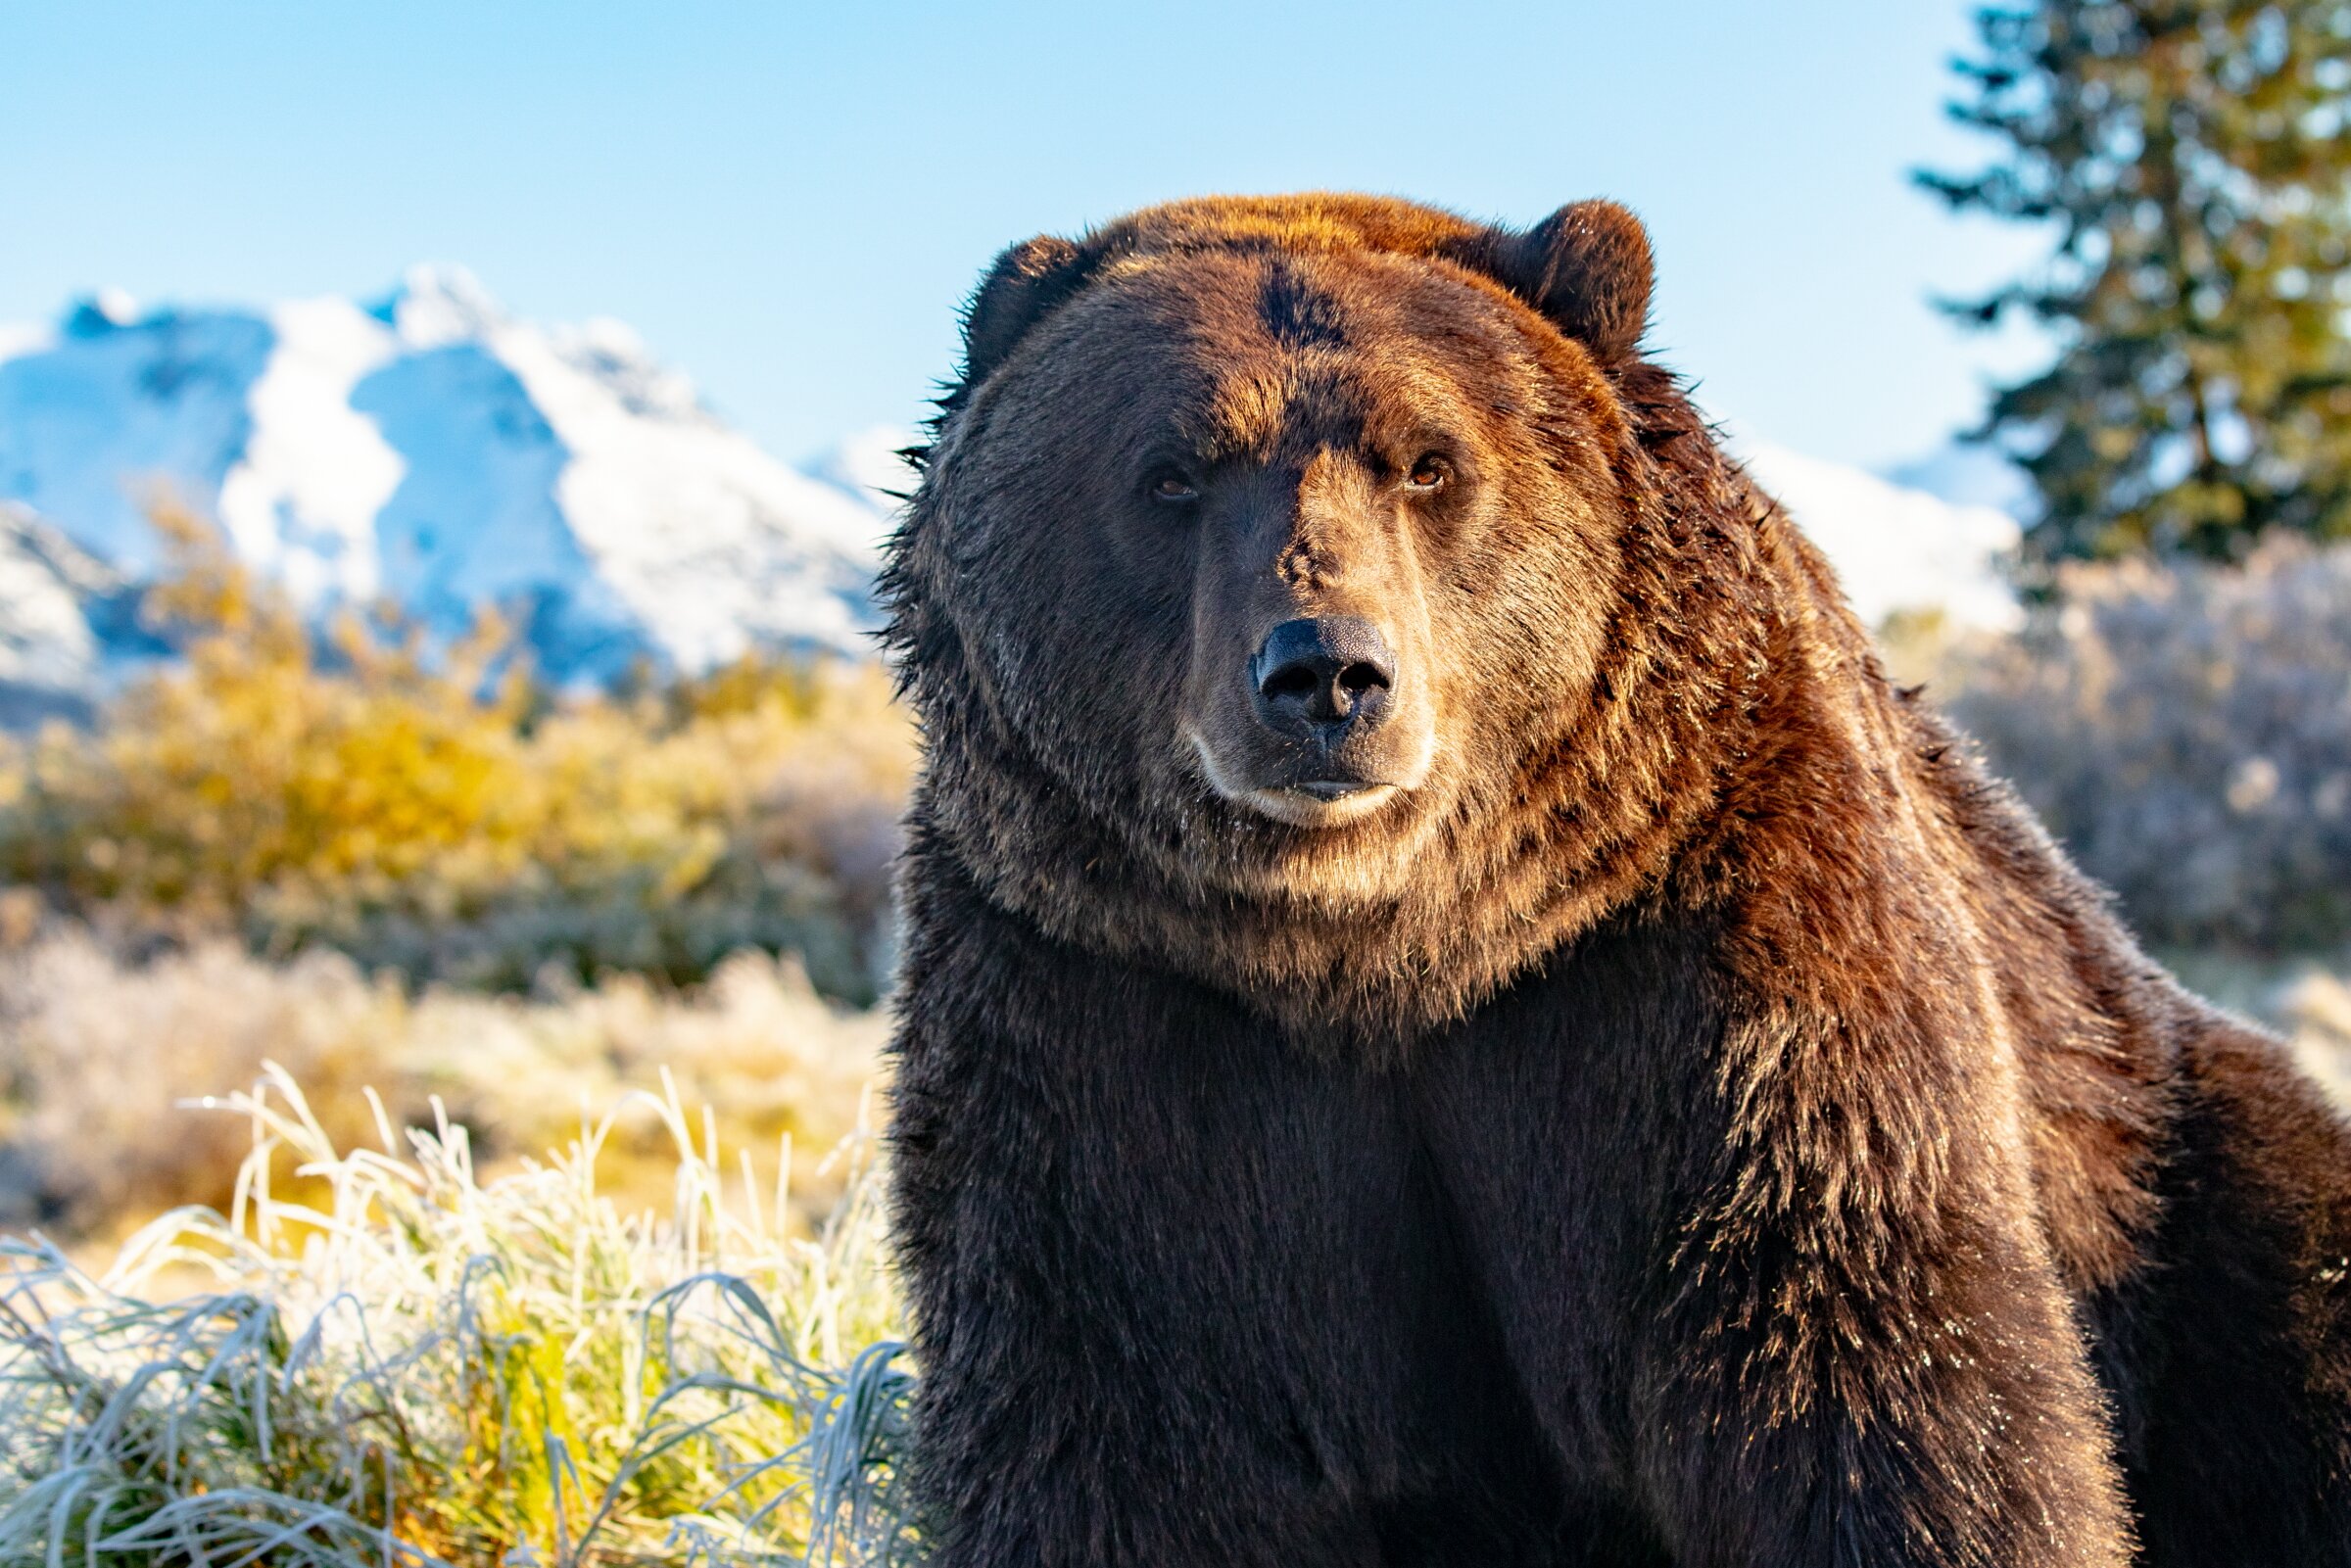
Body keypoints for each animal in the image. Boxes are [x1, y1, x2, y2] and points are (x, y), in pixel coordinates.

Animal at [879, 200, 2351, 1568]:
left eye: (1428, 462)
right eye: (1174, 472)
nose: (1326, 675)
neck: (1380, 953)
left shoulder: (1712, 968)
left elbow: (1877, 1369)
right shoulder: (1106, 1012)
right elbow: (1119, 1426)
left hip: (2179, 1170)